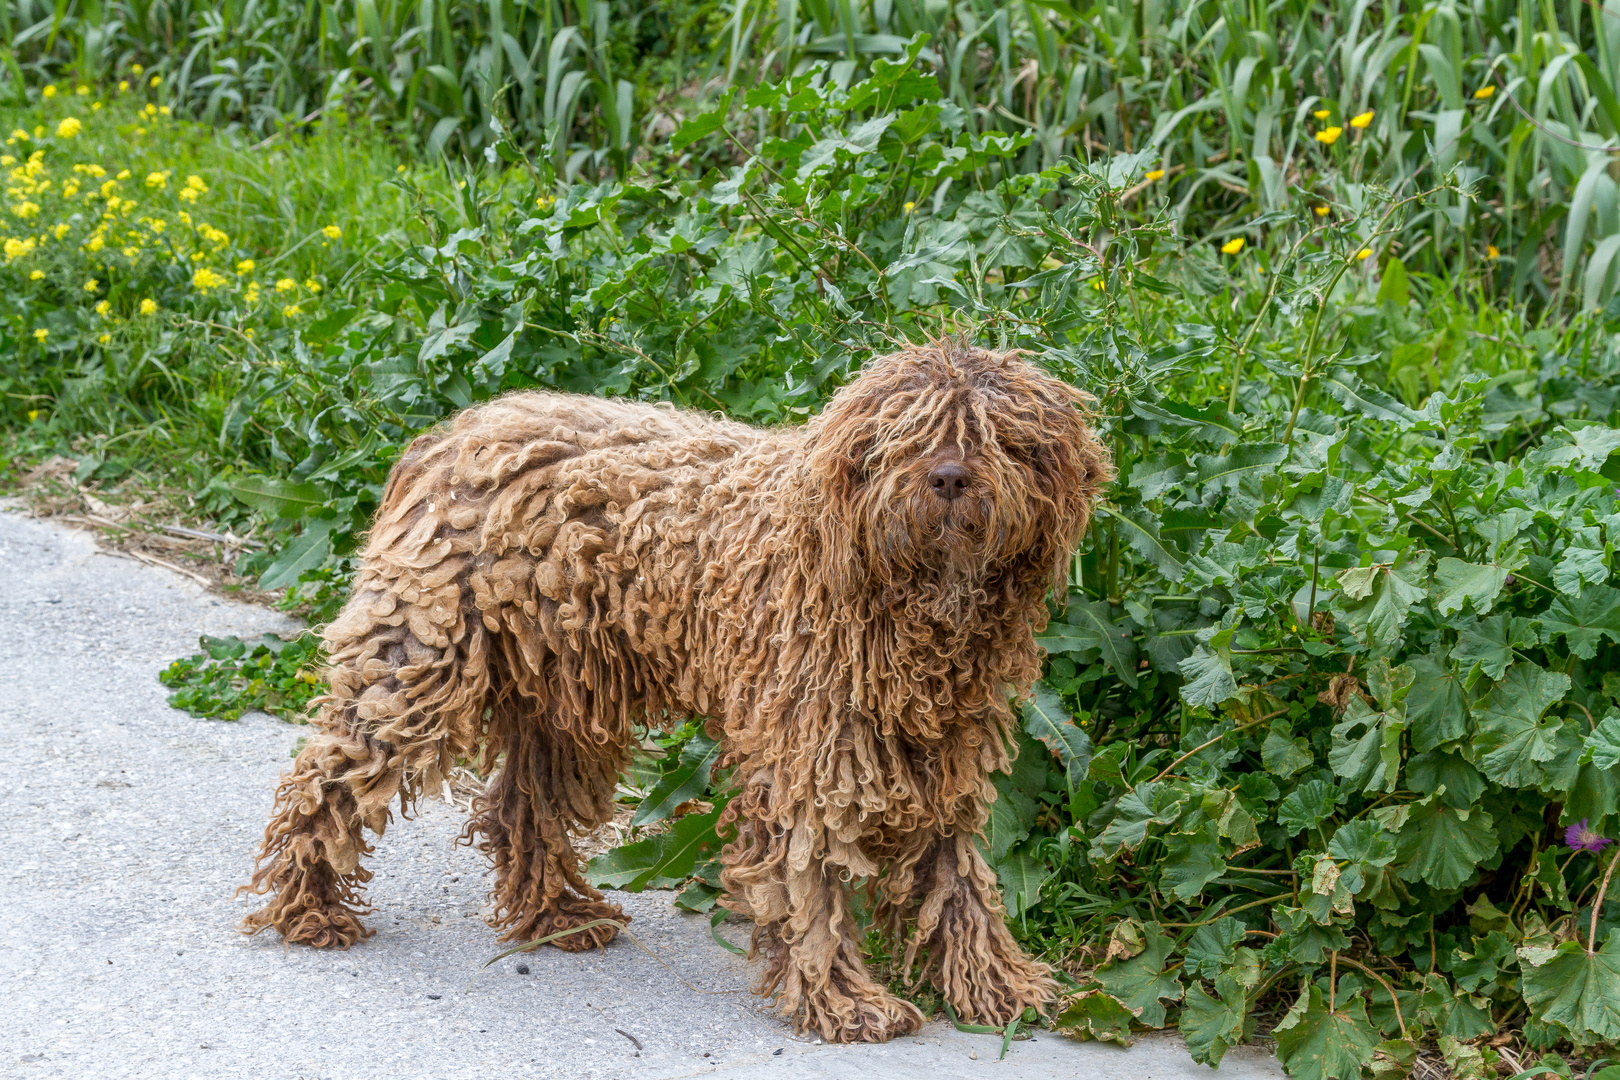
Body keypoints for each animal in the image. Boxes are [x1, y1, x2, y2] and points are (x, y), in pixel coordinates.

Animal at [239, 341, 1114, 1042]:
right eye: (912, 436)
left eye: (1001, 439)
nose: (951, 477)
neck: (911, 603)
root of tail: (448, 439)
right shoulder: (806, 755)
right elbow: (811, 889)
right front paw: (842, 1003)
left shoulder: (939, 756)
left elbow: (958, 885)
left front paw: (998, 987)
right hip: (420, 662)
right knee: (324, 779)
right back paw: (309, 907)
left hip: (562, 696)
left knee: (520, 805)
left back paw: (558, 916)